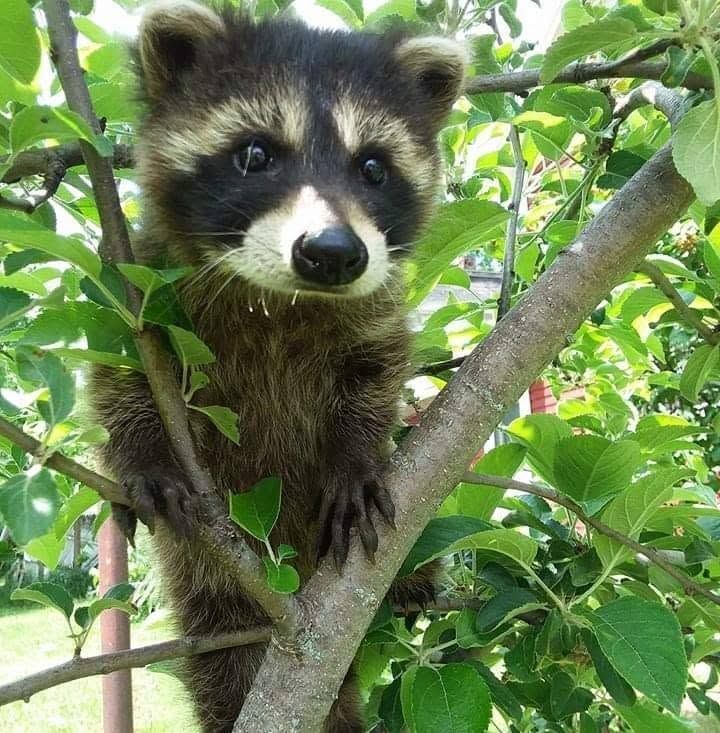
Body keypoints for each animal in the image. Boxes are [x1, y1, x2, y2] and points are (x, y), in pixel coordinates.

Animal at [89, 2, 466, 731]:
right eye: (256, 155)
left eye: (373, 168)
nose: (333, 252)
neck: (283, 299)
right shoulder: (144, 282)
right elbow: (121, 369)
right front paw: (142, 450)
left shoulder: (372, 308)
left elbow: (377, 369)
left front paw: (356, 451)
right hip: (210, 583)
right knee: (220, 655)